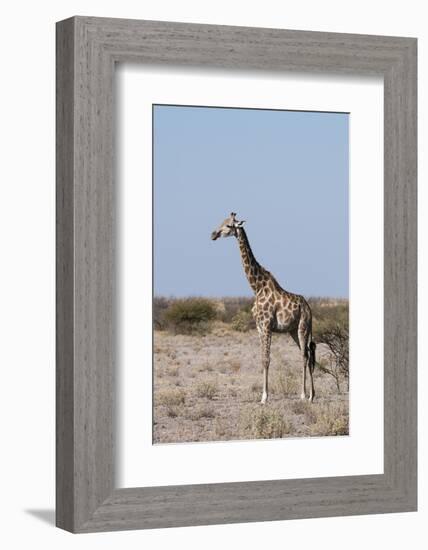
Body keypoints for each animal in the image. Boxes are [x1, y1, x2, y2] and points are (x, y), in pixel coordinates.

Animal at [210, 215, 314, 406]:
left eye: (228, 225)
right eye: (221, 222)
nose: (213, 234)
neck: (256, 287)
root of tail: (309, 308)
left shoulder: (266, 326)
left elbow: (267, 359)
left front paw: (264, 397)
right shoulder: (259, 327)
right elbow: (262, 358)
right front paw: (263, 395)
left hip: (303, 327)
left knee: (305, 356)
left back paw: (306, 395)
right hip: (293, 330)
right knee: (307, 355)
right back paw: (311, 395)